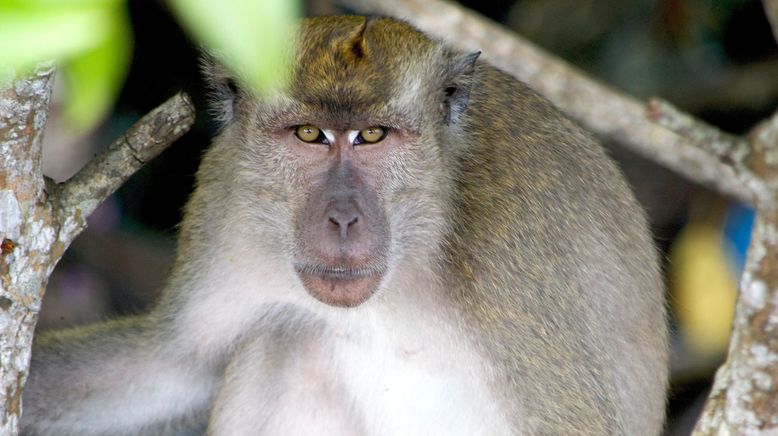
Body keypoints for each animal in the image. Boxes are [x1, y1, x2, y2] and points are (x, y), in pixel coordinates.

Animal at [22, 15, 668, 434]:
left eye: (373, 136)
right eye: (310, 135)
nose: (342, 219)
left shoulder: (511, 247)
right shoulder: (225, 197)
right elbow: (170, 363)